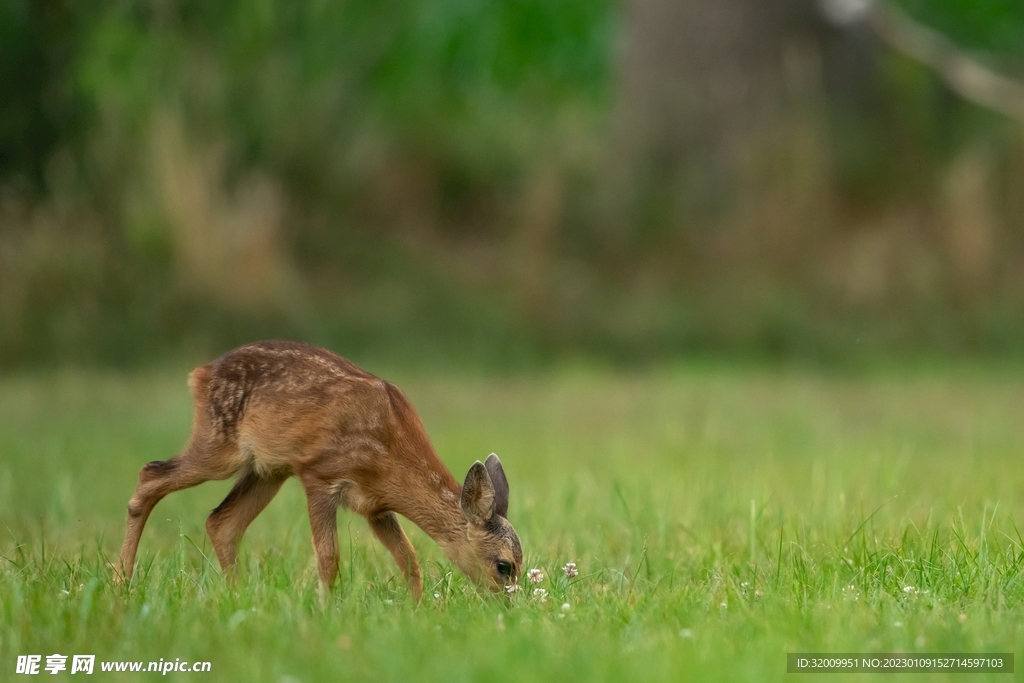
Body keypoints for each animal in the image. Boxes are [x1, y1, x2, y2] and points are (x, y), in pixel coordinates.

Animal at [118, 340, 523, 599]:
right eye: (504, 566)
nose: (507, 606)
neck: (391, 455)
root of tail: (200, 374)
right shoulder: (319, 475)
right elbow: (329, 557)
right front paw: (325, 610)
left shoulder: (375, 506)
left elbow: (409, 559)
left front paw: (417, 610)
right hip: (220, 448)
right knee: (150, 473)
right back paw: (122, 581)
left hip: (268, 470)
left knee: (221, 521)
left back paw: (237, 597)